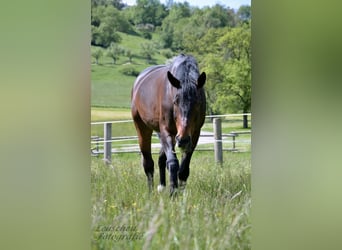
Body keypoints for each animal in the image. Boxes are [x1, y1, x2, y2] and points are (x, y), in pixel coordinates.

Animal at [131, 54, 206, 195]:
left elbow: (183, 169)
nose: (183, 139)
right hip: (142, 127)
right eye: (175, 101)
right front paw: (173, 192)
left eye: (198, 102)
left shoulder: (194, 134)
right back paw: (150, 192)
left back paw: (161, 186)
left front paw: (181, 193)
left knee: (161, 159)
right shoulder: (167, 131)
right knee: (148, 163)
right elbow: (172, 162)